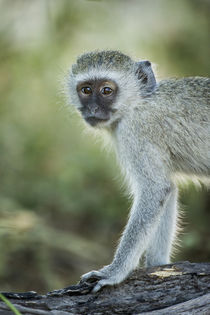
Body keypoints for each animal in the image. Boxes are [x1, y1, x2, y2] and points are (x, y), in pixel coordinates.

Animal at [68, 50, 208, 294]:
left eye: (106, 90)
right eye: (86, 90)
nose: (92, 109)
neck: (138, 103)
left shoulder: (135, 131)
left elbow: (155, 189)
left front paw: (114, 272)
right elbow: (168, 190)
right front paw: (159, 265)